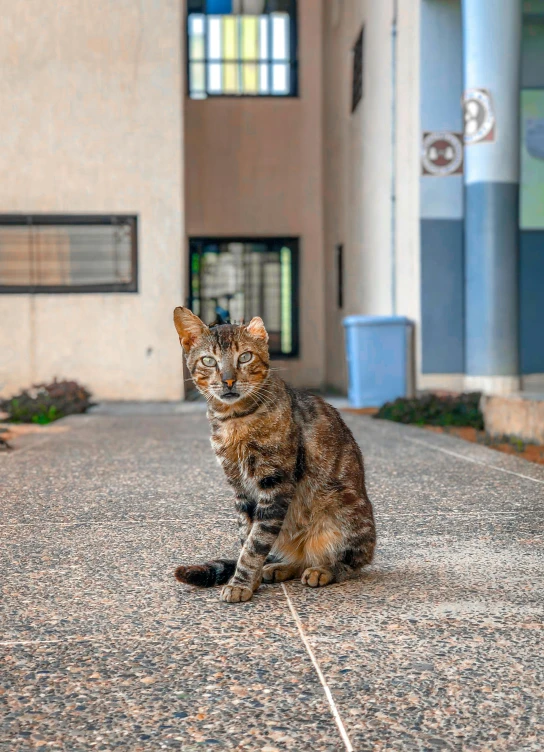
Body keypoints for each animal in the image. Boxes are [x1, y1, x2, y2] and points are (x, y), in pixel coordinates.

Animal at [172, 306, 376, 604]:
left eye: (245, 357)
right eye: (209, 361)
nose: (228, 379)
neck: (234, 421)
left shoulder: (275, 484)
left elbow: (255, 543)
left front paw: (241, 583)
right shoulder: (240, 489)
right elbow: (247, 536)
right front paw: (251, 580)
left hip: (343, 516)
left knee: (350, 563)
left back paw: (323, 570)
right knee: (296, 559)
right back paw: (279, 567)